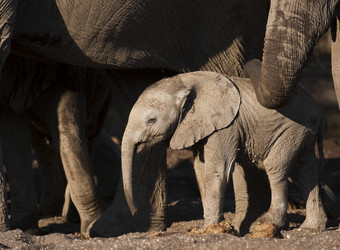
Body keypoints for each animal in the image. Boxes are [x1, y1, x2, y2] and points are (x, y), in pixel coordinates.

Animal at [121, 71, 326, 235]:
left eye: (151, 120)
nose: (134, 211)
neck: (184, 81)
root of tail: (317, 106)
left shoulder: (225, 126)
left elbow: (216, 170)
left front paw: (210, 229)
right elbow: (200, 172)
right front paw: (210, 227)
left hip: (295, 130)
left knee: (276, 167)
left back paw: (269, 223)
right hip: (303, 133)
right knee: (305, 174)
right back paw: (311, 228)